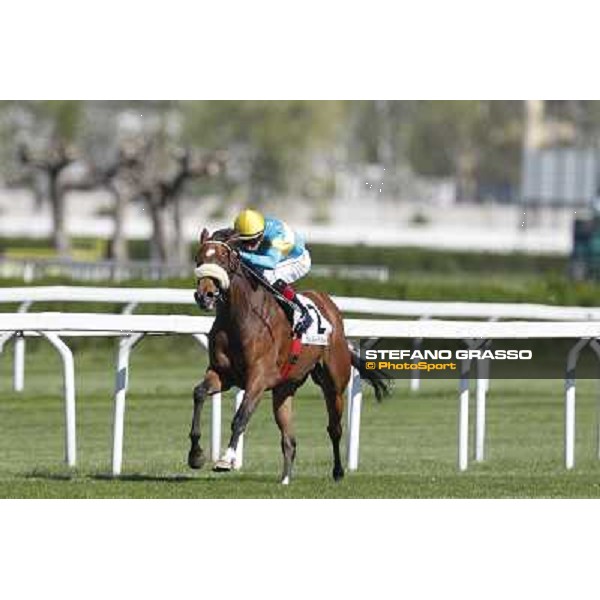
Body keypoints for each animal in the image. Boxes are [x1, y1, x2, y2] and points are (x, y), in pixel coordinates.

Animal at [190, 226, 392, 482]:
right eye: (199, 258)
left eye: (223, 259)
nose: (204, 295)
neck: (239, 318)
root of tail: (330, 308)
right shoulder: (222, 374)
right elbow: (199, 394)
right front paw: (195, 456)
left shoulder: (258, 378)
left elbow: (240, 417)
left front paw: (225, 460)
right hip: (284, 389)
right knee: (289, 439)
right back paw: (285, 479)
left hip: (334, 384)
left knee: (334, 428)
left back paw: (338, 471)